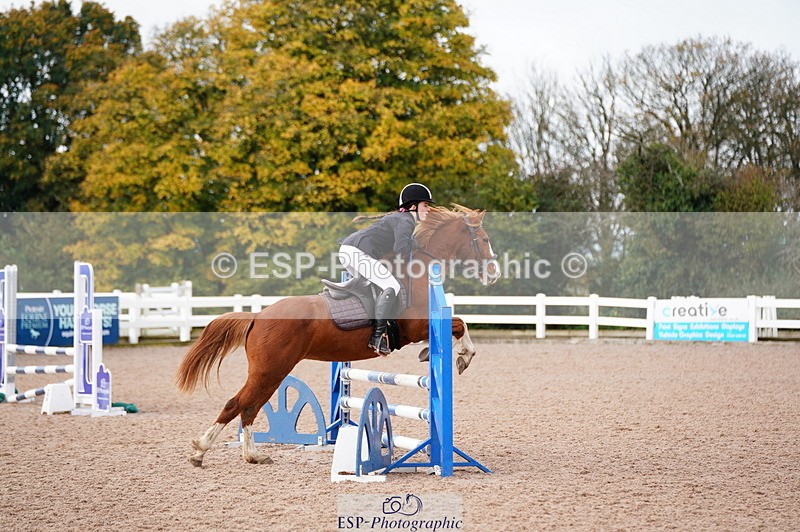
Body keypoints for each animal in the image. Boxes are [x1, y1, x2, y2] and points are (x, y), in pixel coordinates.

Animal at [175, 205, 500, 467]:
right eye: (484, 240)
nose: (494, 273)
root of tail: (258, 316)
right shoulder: (415, 326)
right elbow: (459, 323)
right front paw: (463, 357)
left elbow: (457, 324)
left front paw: (431, 353)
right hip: (270, 369)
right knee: (239, 404)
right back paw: (204, 451)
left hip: (271, 371)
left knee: (248, 407)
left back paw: (249, 455)